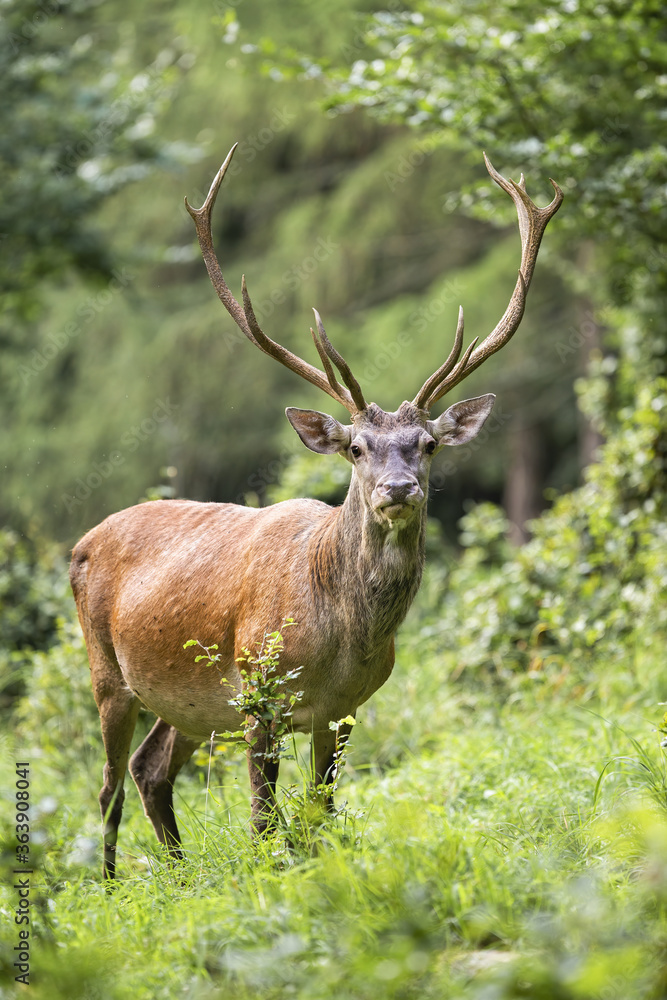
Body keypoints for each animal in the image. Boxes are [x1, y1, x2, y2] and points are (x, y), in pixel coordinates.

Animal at [70, 144, 562, 878]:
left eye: (426, 445)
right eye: (356, 448)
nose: (397, 489)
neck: (342, 636)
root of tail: (80, 542)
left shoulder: (342, 711)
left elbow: (319, 813)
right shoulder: (260, 692)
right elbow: (263, 819)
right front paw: (268, 881)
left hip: (190, 702)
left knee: (150, 767)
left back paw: (179, 875)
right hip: (107, 670)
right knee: (105, 783)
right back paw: (108, 885)